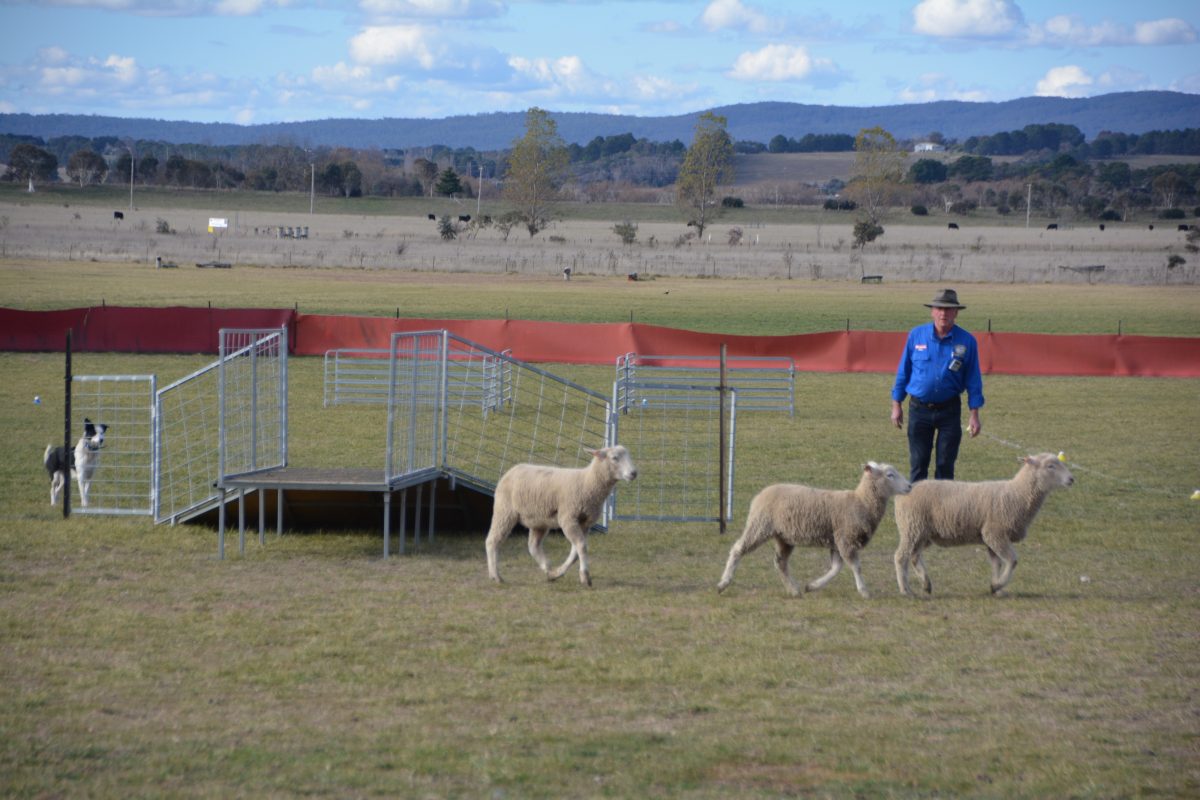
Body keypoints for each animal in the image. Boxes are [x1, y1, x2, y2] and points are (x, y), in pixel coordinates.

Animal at [484, 443, 643, 587]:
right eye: (614, 458)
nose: (634, 473)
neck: (587, 483)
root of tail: (512, 470)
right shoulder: (568, 518)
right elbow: (581, 546)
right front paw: (585, 577)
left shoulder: (585, 523)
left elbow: (575, 552)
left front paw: (559, 572)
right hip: (504, 511)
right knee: (492, 540)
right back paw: (495, 576)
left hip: (539, 520)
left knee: (533, 546)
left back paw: (548, 570)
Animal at [710, 460, 907, 597]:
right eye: (890, 475)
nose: (909, 486)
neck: (861, 501)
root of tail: (760, 495)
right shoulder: (845, 539)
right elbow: (855, 567)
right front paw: (864, 591)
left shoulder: (837, 541)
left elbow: (836, 568)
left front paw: (812, 586)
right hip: (760, 526)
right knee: (738, 549)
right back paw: (723, 583)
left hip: (784, 537)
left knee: (780, 562)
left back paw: (794, 590)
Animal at [892, 453, 1080, 597]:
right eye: (1050, 466)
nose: (1071, 479)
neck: (1017, 494)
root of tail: (906, 489)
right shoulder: (994, 533)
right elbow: (1012, 560)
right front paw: (998, 585)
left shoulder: (991, 538)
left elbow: (997, 564)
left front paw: (997, 588)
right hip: (911, 527)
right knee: (901, 557)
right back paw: (905, 590)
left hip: (923, 533)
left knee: (914, 556)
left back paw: (926, 584)